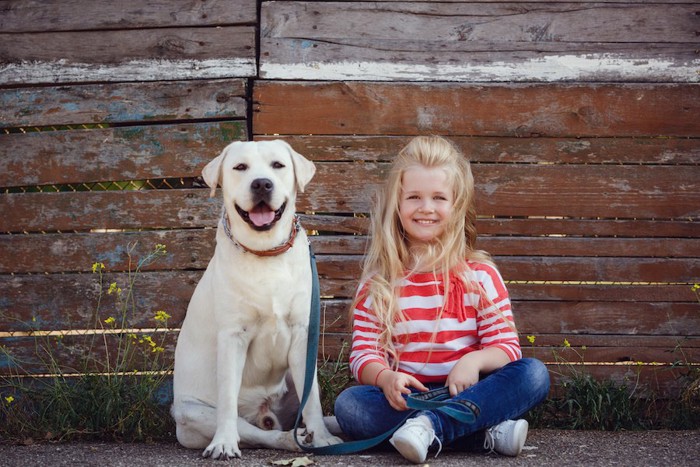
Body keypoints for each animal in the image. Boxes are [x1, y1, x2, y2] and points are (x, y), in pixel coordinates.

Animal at [171, 140, 344, 460]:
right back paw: (289, 439)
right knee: (259, 433)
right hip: (192, 412)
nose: (262, 183)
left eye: (278, 165)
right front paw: (224, 443)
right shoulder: (233, 336)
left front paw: (323, 438)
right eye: (240, 167)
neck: (266, 253)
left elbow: (312, 399)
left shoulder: (302, 335)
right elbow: (227, 400)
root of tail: (264, 412)